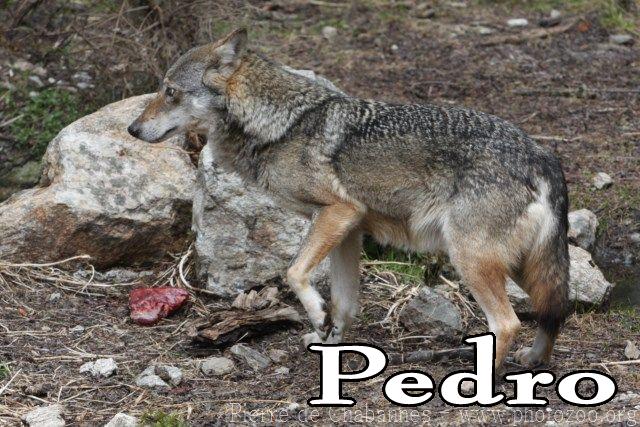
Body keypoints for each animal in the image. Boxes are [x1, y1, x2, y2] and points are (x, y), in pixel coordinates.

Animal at [128, 28, 570, 369]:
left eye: (170, 92)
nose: (132, 129)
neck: (282, 125)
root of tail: (541, 155)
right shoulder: (349, 228)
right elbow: (343, 302)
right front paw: (330, 340)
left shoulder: (339, 212)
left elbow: (293, 273)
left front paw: (316, 314)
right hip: (519, 265)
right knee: (552, 313)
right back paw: (534, 360)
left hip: (470, 260)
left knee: (508, 324)